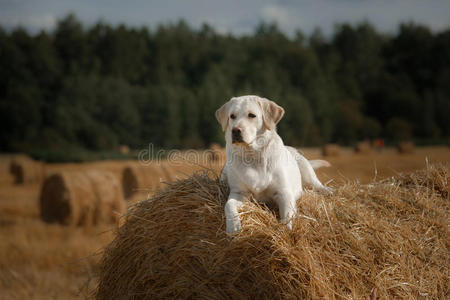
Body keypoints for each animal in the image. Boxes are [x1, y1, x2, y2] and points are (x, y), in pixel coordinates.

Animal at [216, 95, 332, 233]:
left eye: (251, 115)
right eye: (232, 116)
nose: (235, 131)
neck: (252, 156)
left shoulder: (284, 192)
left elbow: (287, 215)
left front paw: (285, 232)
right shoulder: (239, 192)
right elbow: (228, 205)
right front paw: (233, 226)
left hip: (305, 168)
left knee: (316, 184)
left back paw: (328, 191)